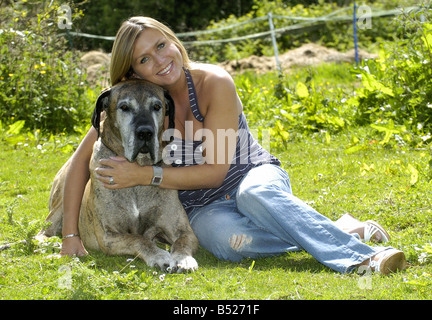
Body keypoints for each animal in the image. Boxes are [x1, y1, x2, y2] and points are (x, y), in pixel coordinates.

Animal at [39, 80, 198, 272]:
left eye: (156, 106)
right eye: (124, 107)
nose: (145, 132)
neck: (138, 168)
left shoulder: (182, 229)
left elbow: (182, 241)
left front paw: (183, 259)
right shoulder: (108, 235)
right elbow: (138, 239)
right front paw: (159, 255)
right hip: (61, 202)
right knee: (44, 231)